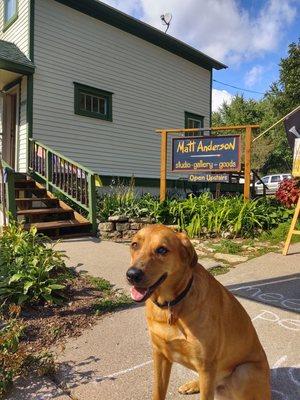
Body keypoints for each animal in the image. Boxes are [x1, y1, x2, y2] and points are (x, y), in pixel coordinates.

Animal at [125, 225, 270, 400]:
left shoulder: (206, 367)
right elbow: (158, 392)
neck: (171, 305)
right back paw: (193, 385)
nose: (132, 275)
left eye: (162, 250)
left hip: (243, 372)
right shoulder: (160, 355)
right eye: (134, 245)